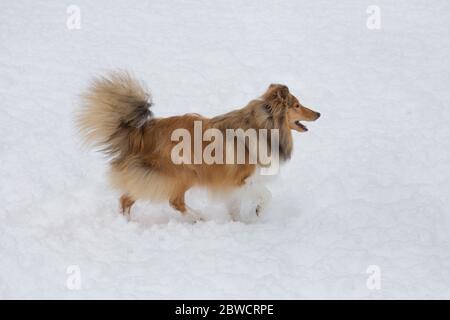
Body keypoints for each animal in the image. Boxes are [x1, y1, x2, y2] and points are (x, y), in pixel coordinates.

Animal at [76, 71, 320, 221]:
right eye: (297, 105)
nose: (318, 113)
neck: (263, 124)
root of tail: (139, 132)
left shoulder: (231, 184)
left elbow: (235, 206)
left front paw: (240, 223)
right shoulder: (241, 179)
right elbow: (267, 194)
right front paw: (258, 212)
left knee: (126, 199)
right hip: (183, 173)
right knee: (173, 201)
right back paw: (198, 218)